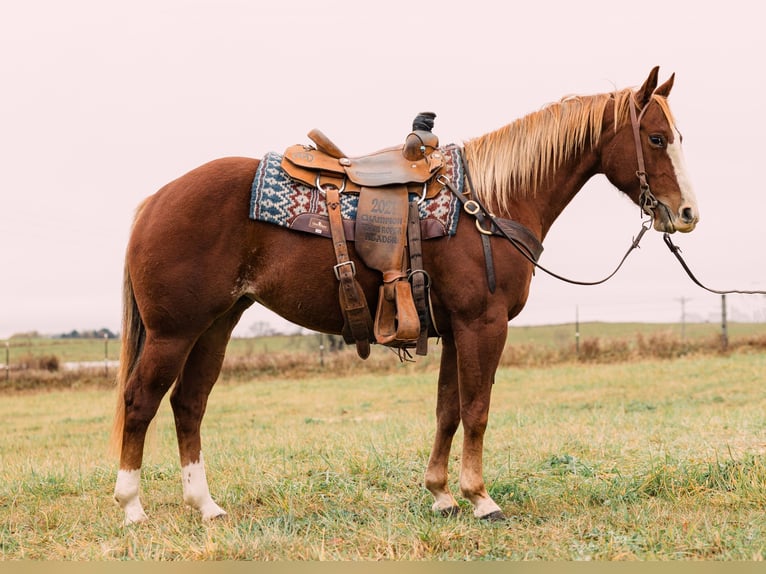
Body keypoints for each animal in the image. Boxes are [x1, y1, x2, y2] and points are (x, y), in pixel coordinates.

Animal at [109, 67, 704, 528]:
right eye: (656, 139)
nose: (687, 214)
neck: (490, 204)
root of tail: (155, 200)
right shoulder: (483, 324)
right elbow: (477, 410)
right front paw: (481, 499)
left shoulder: (455, 330)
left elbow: (448, 411)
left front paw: (441, 494)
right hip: (173, 331)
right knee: (141, 401)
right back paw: (132, 507)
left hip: (217, 324)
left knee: (189, 403)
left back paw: (205, 506)